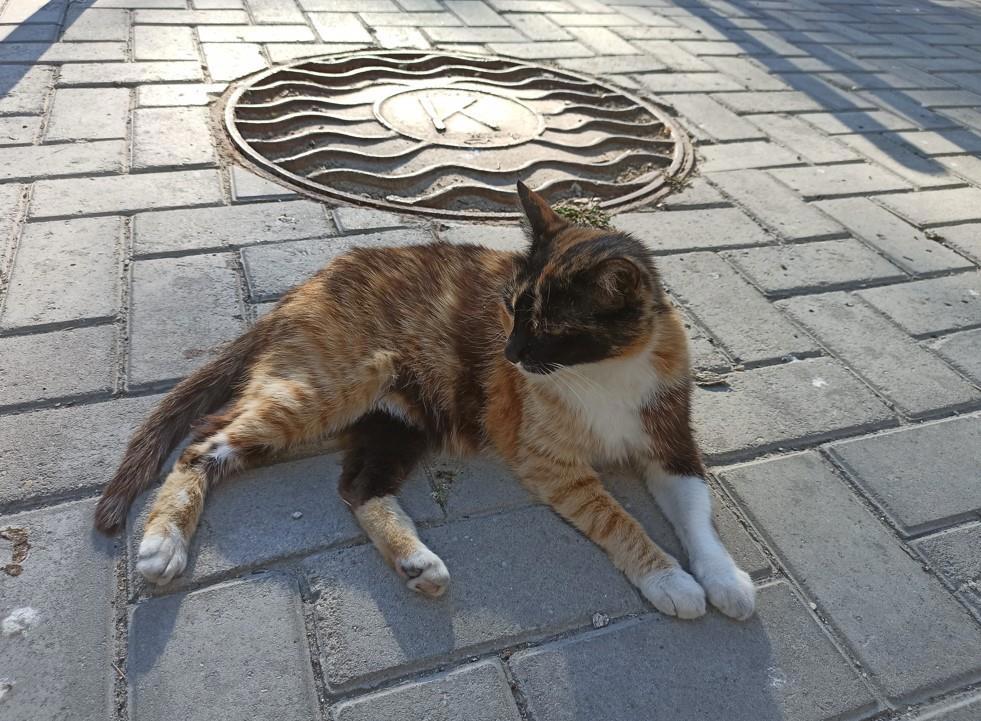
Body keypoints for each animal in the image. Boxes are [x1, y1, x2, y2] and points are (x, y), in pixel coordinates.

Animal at [95, 182, 755, 621]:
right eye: (511, 308)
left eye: (549, 327)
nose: (510, 354)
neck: (605, 372)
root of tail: (297, 293)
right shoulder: (552, 464)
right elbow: (618, 519)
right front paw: (668, 578)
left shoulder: (672, 445)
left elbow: (699, 515)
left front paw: (723, 577)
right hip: (323, 391)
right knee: (204, 442)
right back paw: (162, 543)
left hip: (399, 420)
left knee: (357, 488)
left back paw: (416, 562)